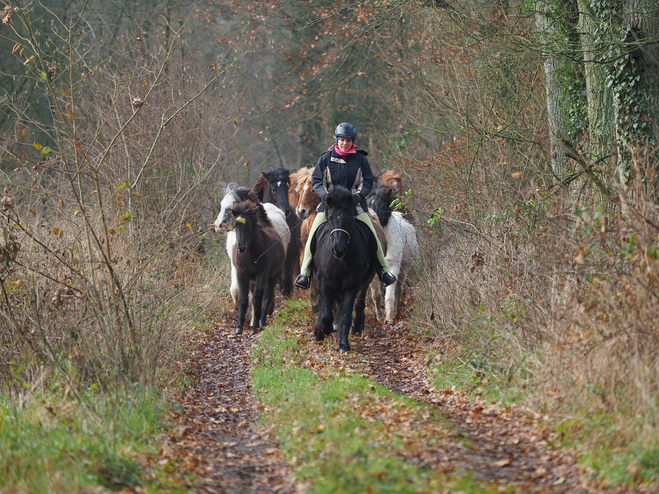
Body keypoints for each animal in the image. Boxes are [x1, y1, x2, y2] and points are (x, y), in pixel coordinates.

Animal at [231, 199, 284, 334]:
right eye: (235, 226)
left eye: (249, 226)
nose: (241, 248)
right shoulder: (242, 274)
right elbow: (244, 298)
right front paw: (239, 327)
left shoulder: (262, 273)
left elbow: (258, 296)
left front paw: (255, 326)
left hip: (273, 276)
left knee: (268, 295)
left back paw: (262, 320)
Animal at [251, 166, 302, 298]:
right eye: (273, 189)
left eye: (287, 188)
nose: (286, 211)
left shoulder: (289, 254)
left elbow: (287, 277)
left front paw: (287, 293)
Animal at [312, 185, 378, 352]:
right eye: (330, 218)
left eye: (348, 219)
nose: (339, 249)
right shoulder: (323, 283)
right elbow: (326, 313)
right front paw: (324, 329)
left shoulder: (351, 286)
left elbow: (346, 314)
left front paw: (343, 344)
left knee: (357, 303)